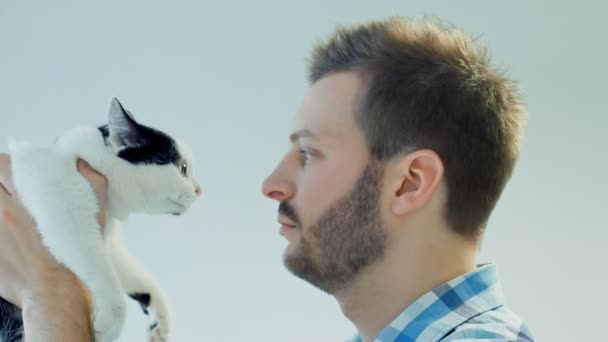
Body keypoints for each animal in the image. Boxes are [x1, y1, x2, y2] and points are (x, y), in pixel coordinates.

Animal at [0, 97, 202, 340]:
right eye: (183, 167)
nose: (200, 190)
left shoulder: (109, 240)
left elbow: (131, 275)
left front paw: (159, 316)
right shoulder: (59, 197)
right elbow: (93, 260)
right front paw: (111, 320)